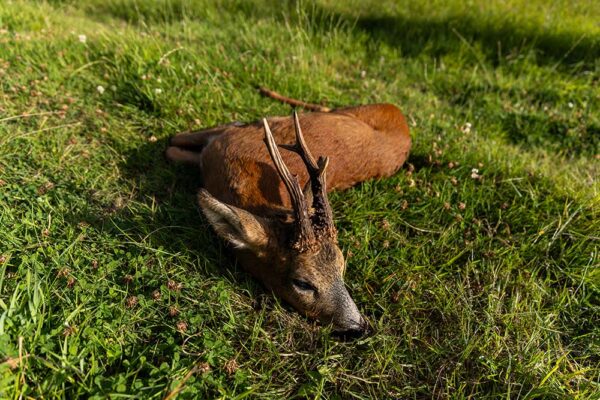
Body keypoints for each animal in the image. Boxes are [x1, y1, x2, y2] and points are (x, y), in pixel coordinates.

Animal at [166, 101, 410, 338]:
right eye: (302, 283)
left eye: (342, 267)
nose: (360, 328)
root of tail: (399, 114)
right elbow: (173, 142)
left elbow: (172, 145)